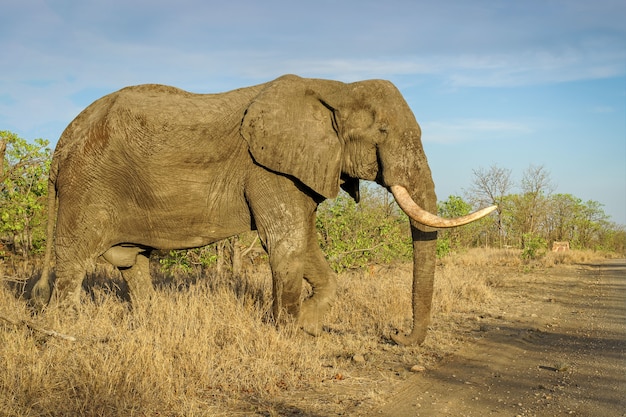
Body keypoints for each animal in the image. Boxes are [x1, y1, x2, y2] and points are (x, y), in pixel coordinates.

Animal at [33, 74, 492, 344]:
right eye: (381, 130)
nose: (396, 335)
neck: (336, 87)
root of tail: (60, 146)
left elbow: (305, 243)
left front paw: (309, 326)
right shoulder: (268, 168)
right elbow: (285, 242)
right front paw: (288, 335)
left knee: (133, 263)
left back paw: (147, 326)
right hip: (88, 185)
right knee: (73, 262)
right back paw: (58, 334)